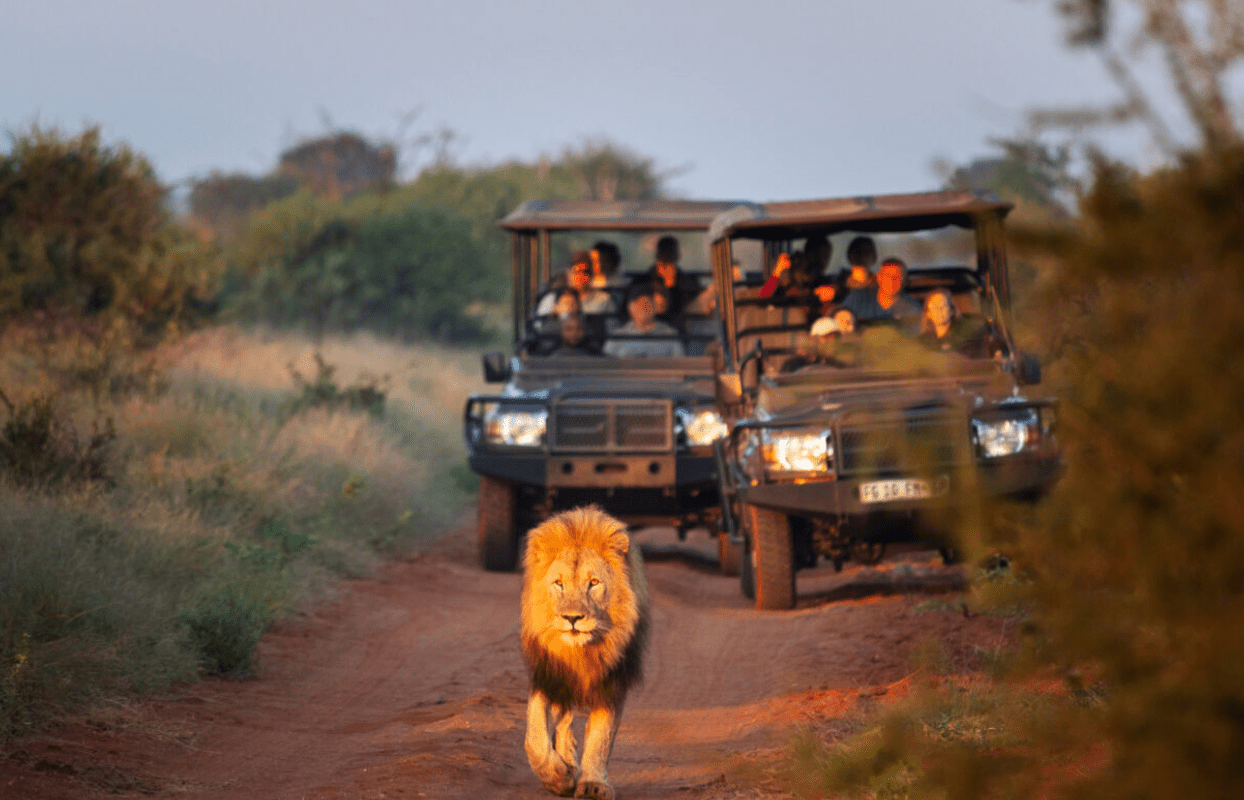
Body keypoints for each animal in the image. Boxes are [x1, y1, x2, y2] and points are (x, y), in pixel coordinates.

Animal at [520, 506, 649, 800]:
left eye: (593, 583)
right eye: (558, 583)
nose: (572, 618)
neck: (580, 654)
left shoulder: (612, 682)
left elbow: (601, 738)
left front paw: (592, 784)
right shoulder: (548, 674)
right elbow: (535, 739)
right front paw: (558, 776)